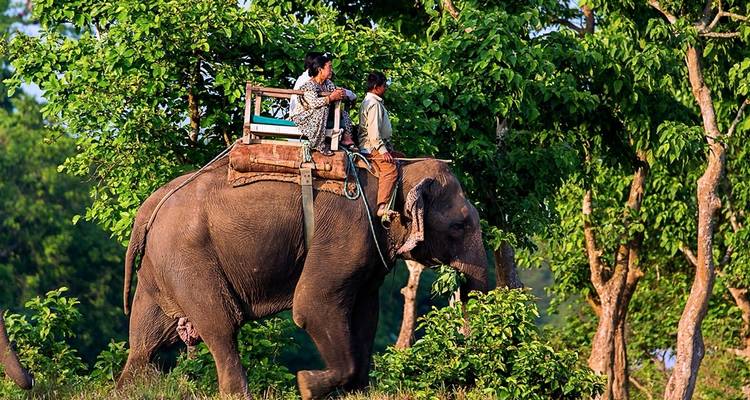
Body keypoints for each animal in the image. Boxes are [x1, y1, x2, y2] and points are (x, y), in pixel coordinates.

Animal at [118, 156, 489, 399]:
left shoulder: (369, 250)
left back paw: (127, 389)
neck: (396, 169)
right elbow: (312, 307)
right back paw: (239, 394)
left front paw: (357, 393)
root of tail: (148, 207)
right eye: (459, 226)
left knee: (146, 339)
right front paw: (307, 385)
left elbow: (366, 314)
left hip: (162, 267)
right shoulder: (344, 232)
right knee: (221, 326)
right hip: (188, 260)